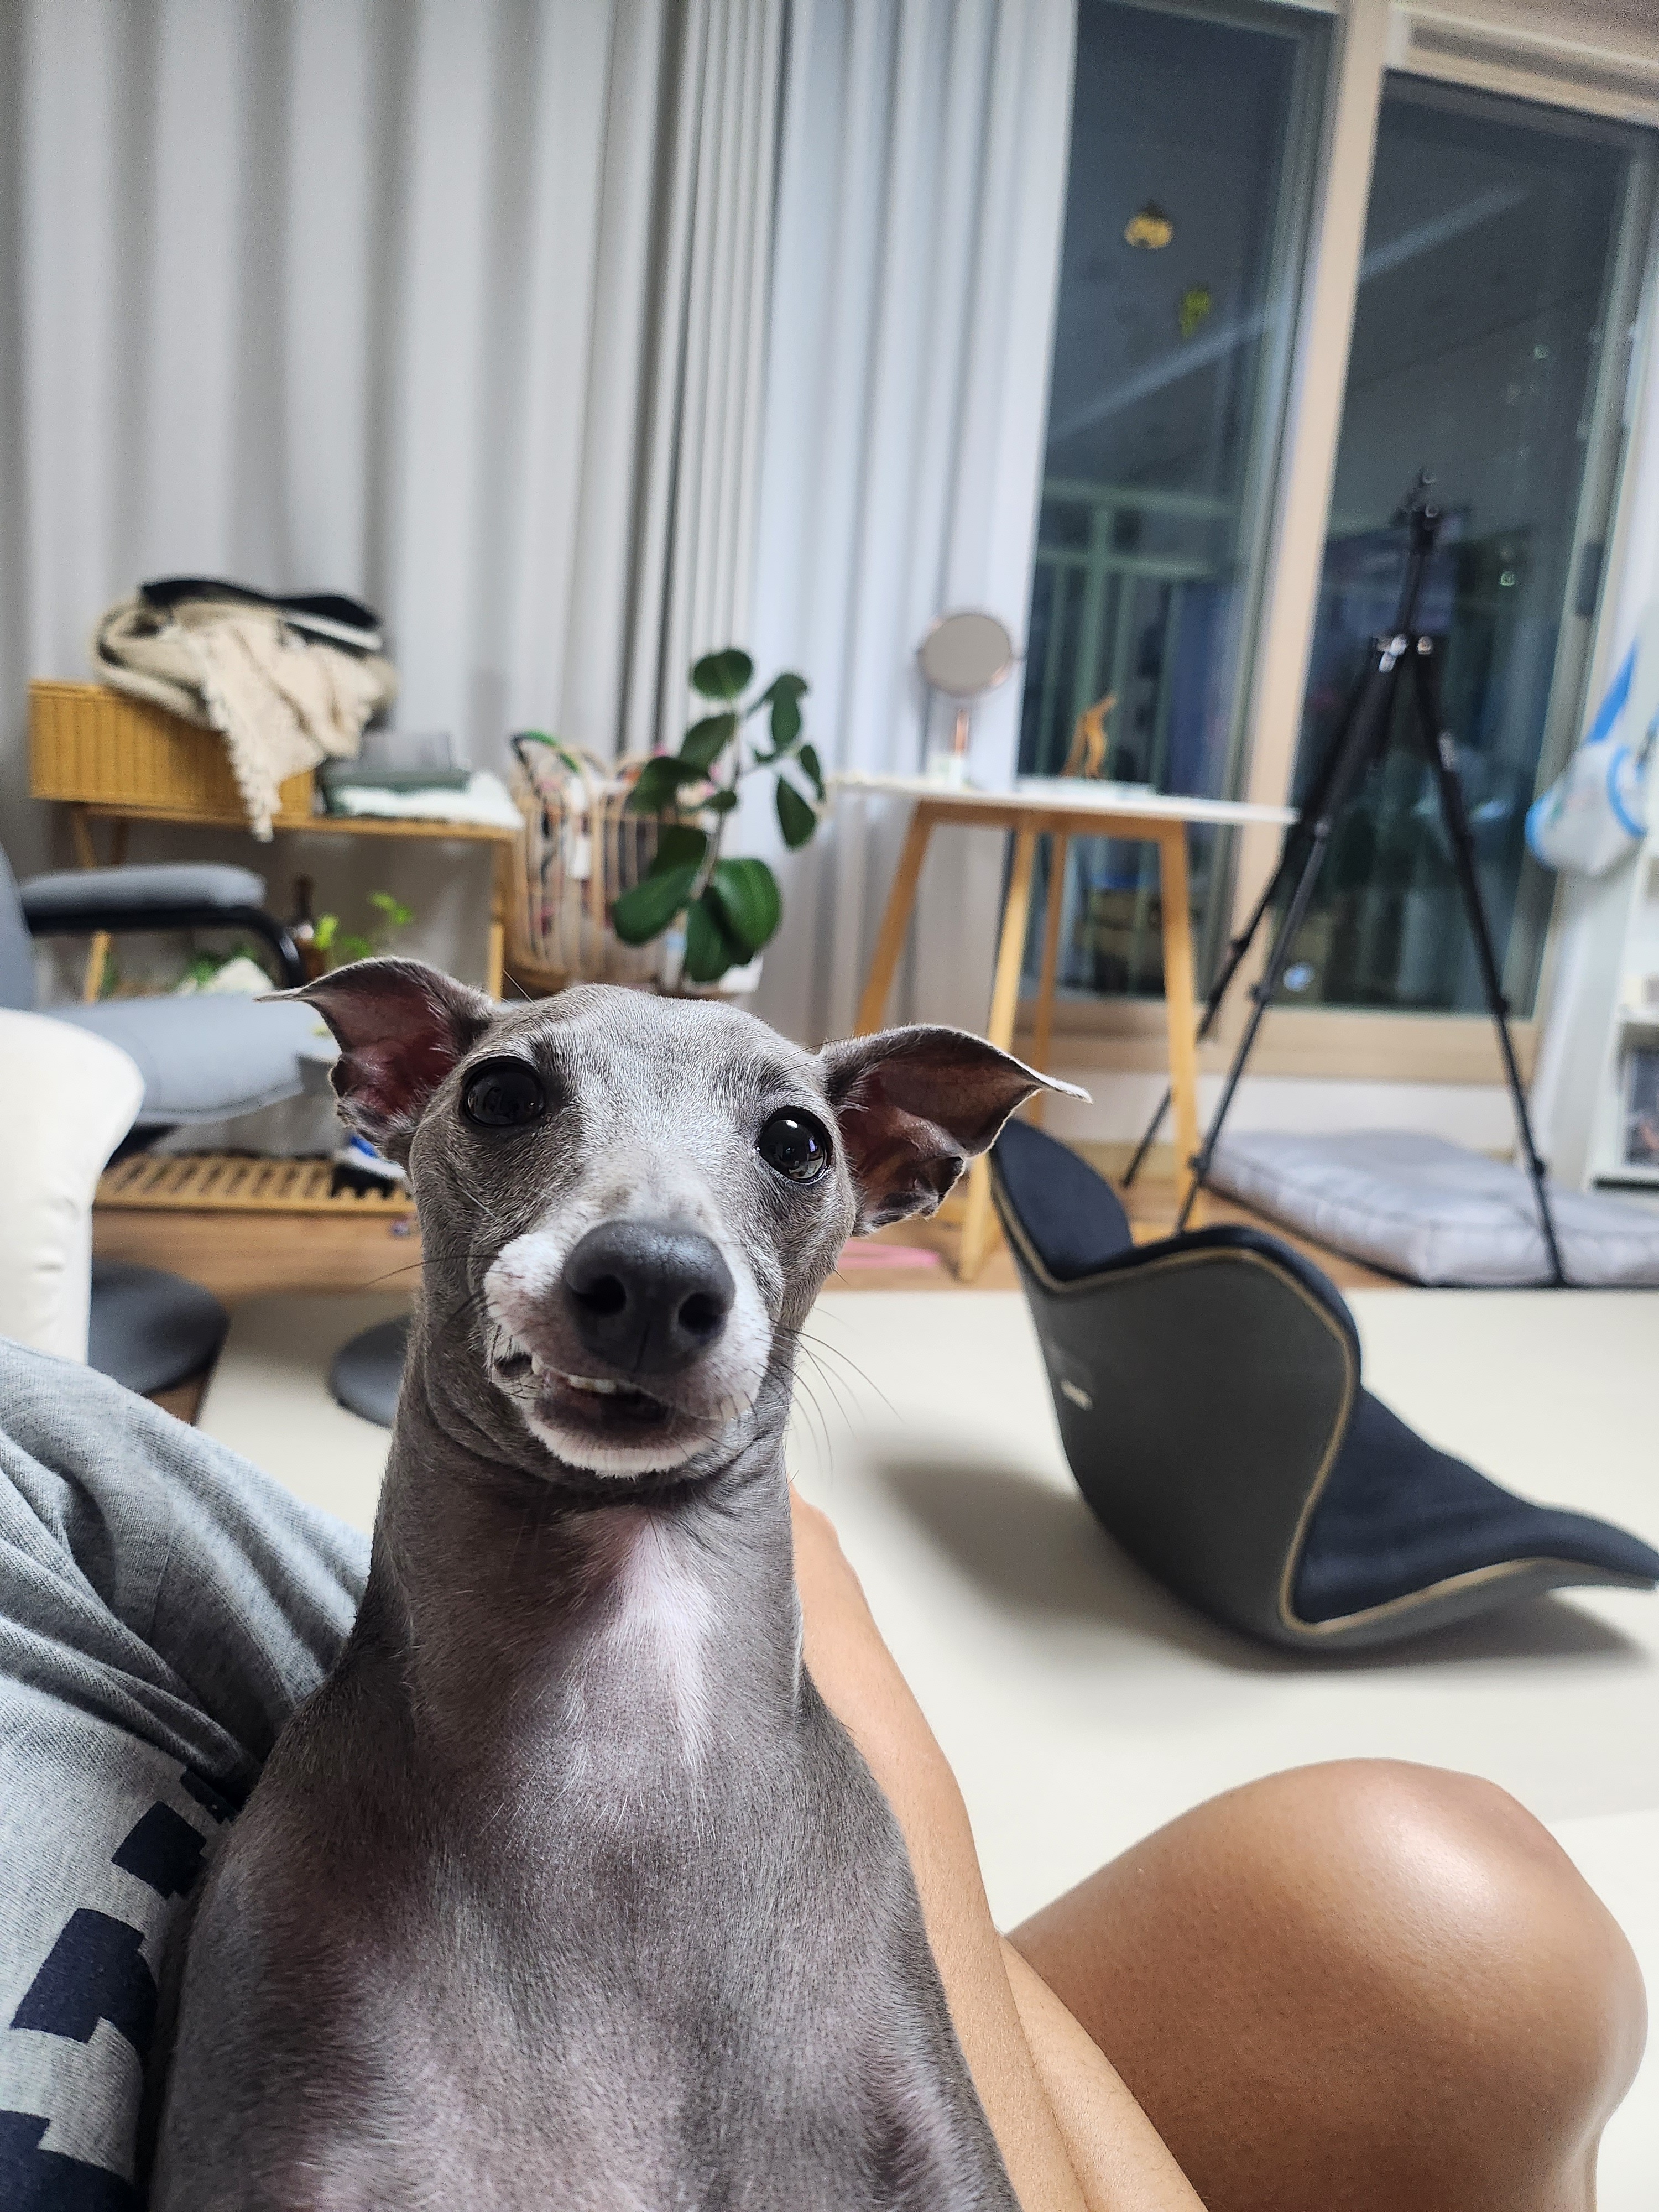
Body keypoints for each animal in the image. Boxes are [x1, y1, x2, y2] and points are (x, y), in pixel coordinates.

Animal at [152, 959, 1083, 2210]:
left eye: (799, 1140)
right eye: (498, 1093)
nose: (652, 1277)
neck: (616, 1763)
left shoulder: (938, 2125)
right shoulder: (282, 2102)